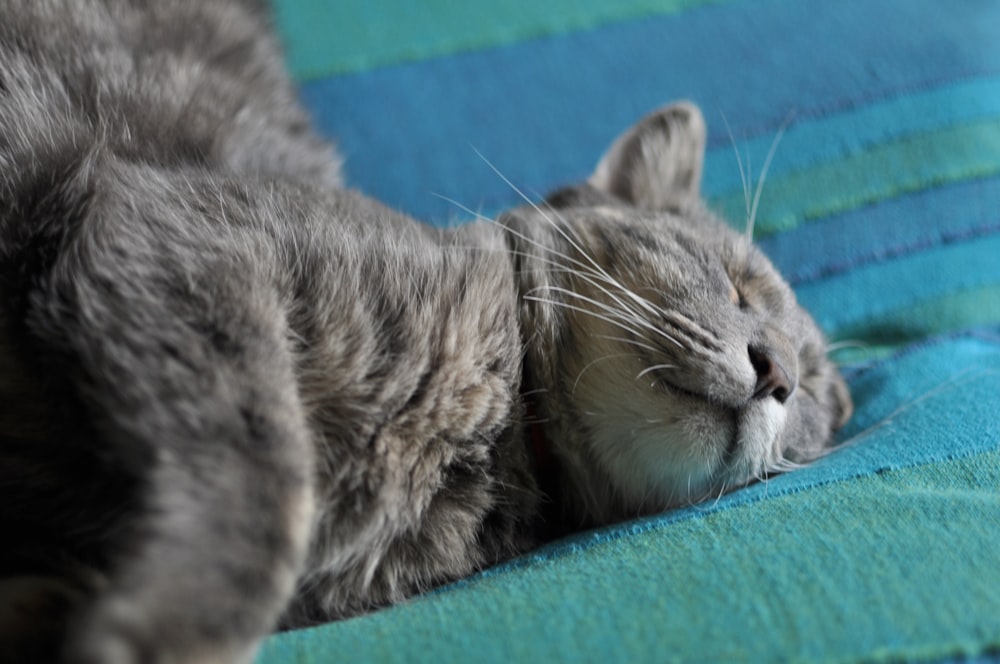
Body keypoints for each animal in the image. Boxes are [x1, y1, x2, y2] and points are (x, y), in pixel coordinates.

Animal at [1, 1, 852, 664]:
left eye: (809, 394)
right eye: (735, 282)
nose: (777, 371)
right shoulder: (188, 239)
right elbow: (262, 479)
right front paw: (168, 625)